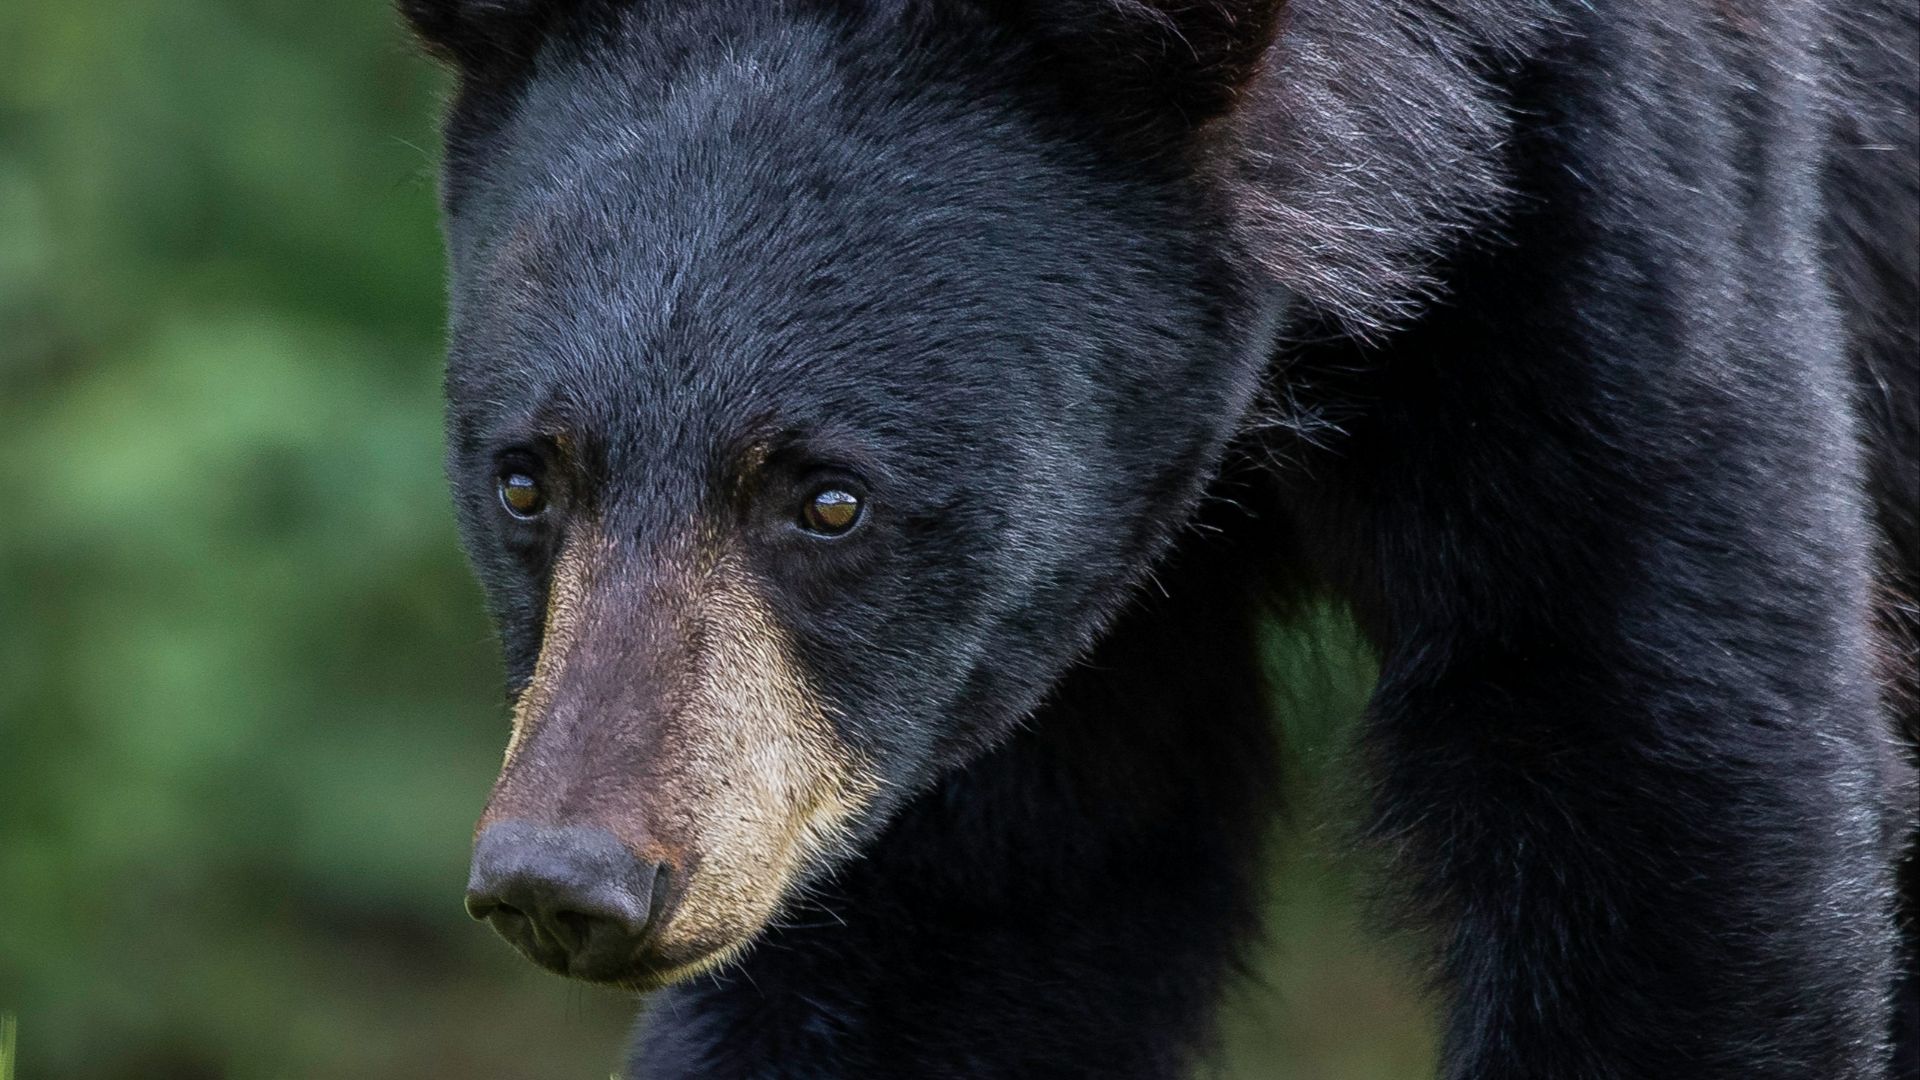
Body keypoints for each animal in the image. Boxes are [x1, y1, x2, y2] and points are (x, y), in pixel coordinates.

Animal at [397, 1, 1919, 1077]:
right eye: (525, 481)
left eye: (829, 497)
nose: (568, 881)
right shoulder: (990, 644)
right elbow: (967, 922)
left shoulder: (1618, 233)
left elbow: (1677, 804)